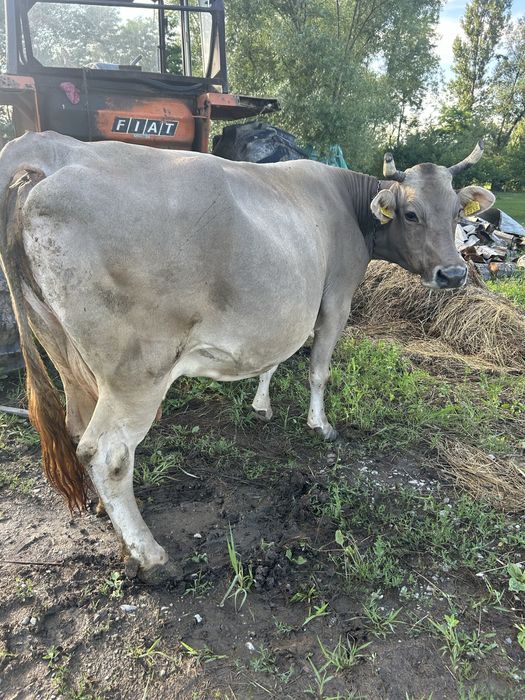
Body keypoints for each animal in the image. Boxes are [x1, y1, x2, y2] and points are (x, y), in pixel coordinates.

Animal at [0, 131, 494, 582]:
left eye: (456, 213)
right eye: (411, 214)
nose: (454, 274)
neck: (346, 202)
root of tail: (51, 147)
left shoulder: (280, 311)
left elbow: (274, 356)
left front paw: (261, 404)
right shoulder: (336, 298)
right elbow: (318, 370)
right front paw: (321, 426)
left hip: (65, 351)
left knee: (76, 427)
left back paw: (108, 517)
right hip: (136, 371)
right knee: (107, 453)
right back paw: (149, 553)